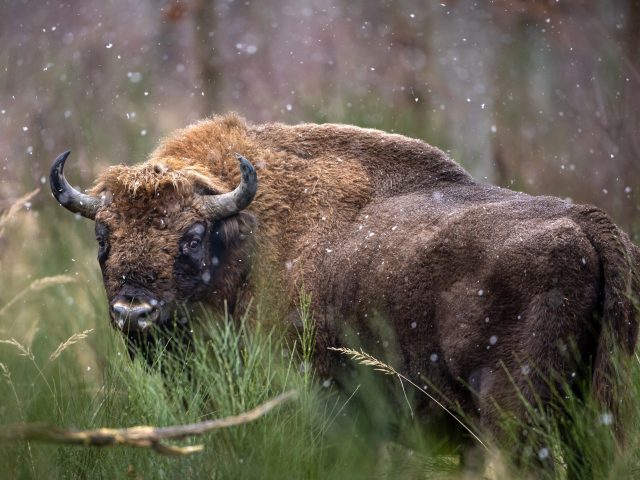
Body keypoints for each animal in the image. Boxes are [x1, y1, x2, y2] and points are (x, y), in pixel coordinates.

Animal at [51, 113, 640, 468]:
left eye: (191, 237)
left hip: (511, 409)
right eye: (103, 236)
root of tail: (586, 222)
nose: (134, 310)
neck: (245, 242)